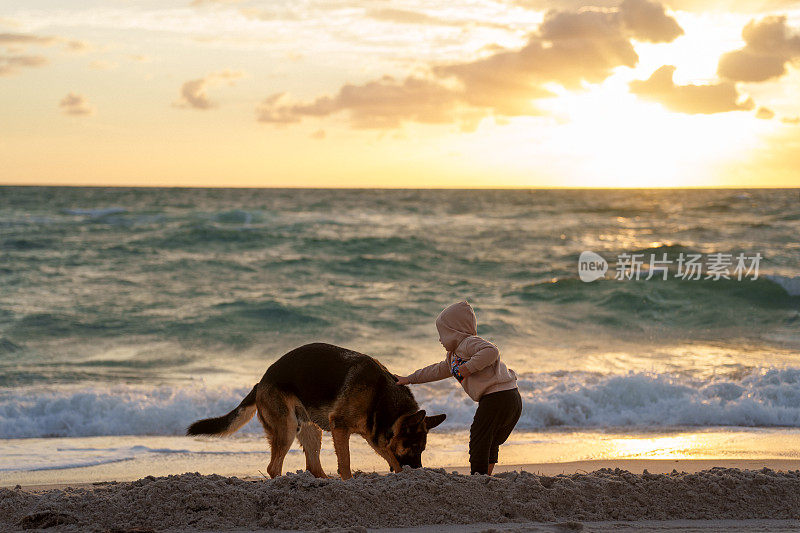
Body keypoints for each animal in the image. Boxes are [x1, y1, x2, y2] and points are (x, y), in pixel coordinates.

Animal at [190, 342, 446, 480]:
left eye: (422, 450)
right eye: (414, 448)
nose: (419, 472)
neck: (381, 396)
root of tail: (261, 382)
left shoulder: (374, 436)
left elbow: (391, 457)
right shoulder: (340, 427)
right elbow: (346, 462)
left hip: (311, 429)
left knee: (312, 466)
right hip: (287, 427)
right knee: (274, 467)